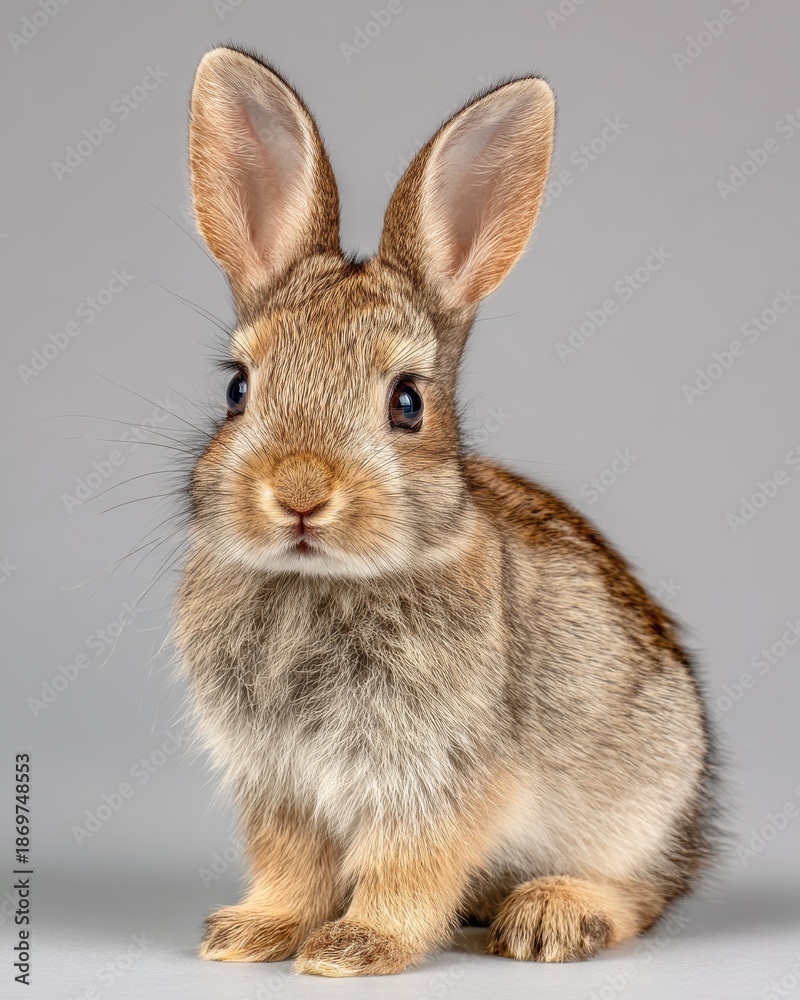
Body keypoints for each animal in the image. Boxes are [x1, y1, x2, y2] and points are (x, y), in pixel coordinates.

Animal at [175, 46, 717, 978]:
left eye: (407, 403)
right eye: (237, 390)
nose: (301, 490)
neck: (323, 581)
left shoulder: (441, 772)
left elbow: (409, 864)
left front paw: (354, 948)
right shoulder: (279, 782)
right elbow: (291, 863)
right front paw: (253, 934)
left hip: (643, 797)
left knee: (644, 896)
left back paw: (552, 916)